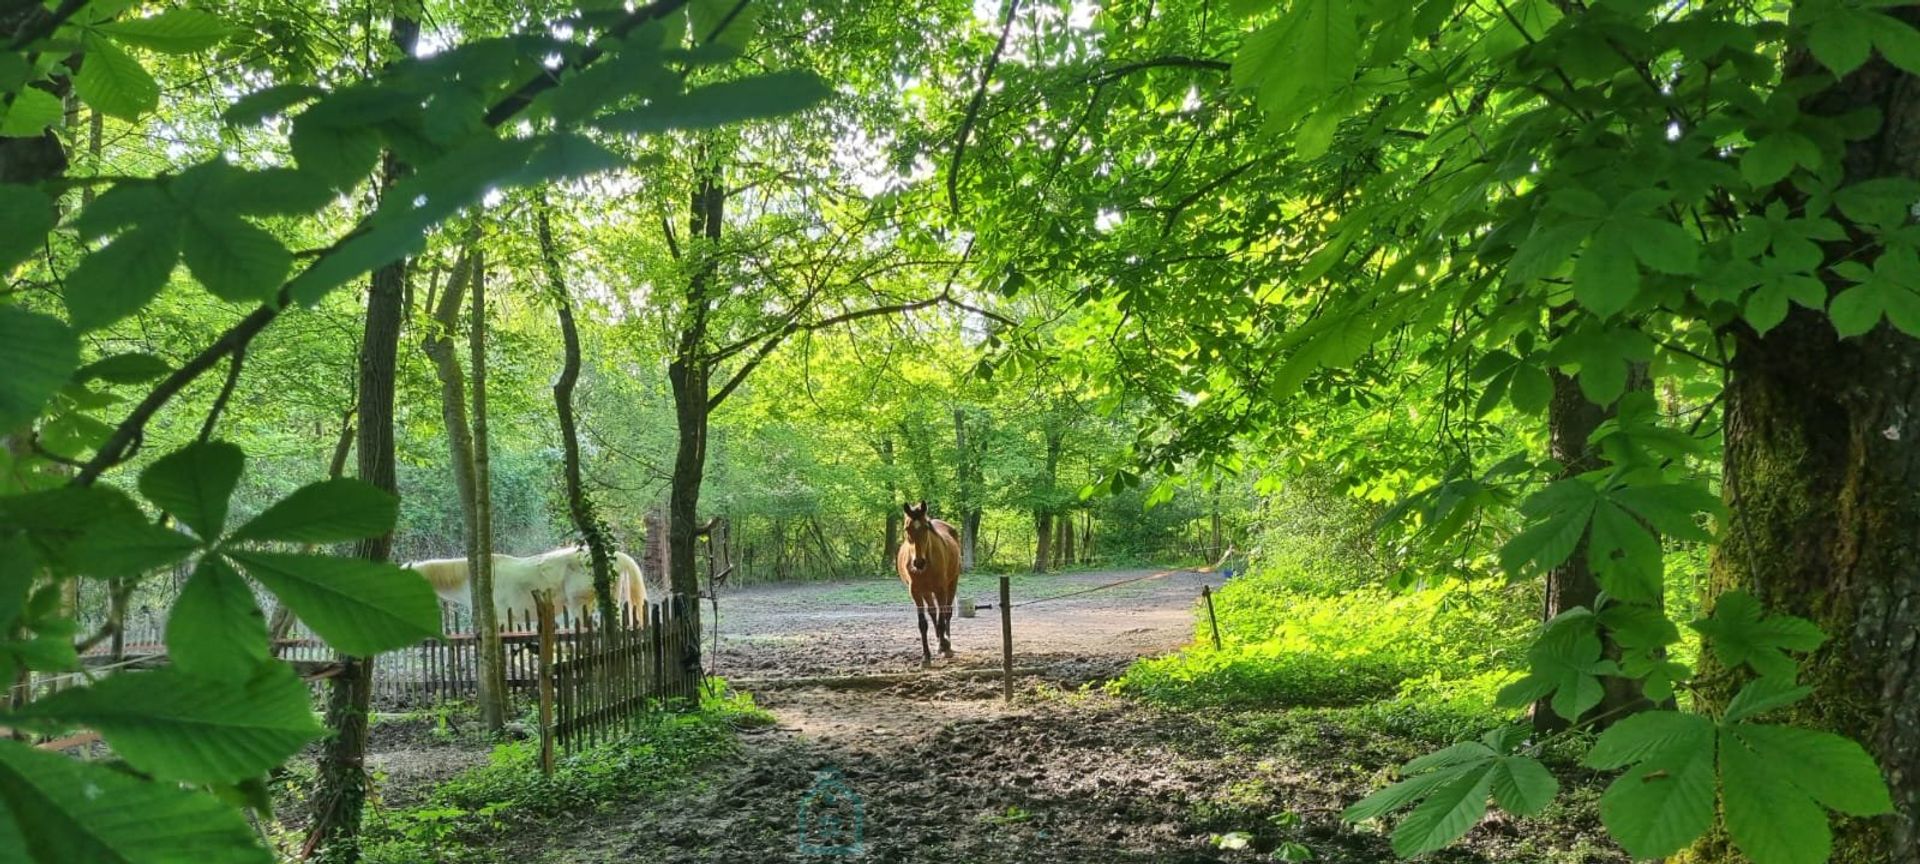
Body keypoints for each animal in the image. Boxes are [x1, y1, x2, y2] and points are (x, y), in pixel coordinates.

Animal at [894, 503, 960, 664]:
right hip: (927, 591)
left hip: (952, 583)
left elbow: (942, 618)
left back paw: (946, 643)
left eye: (925, 527)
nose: (918, 563)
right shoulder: (916, 593)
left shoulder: (941, 590)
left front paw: (945, 648)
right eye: (907, 528)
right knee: (933, 612)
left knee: (947, 612)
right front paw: (926, 656)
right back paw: (939, 641)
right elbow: (923, 623)